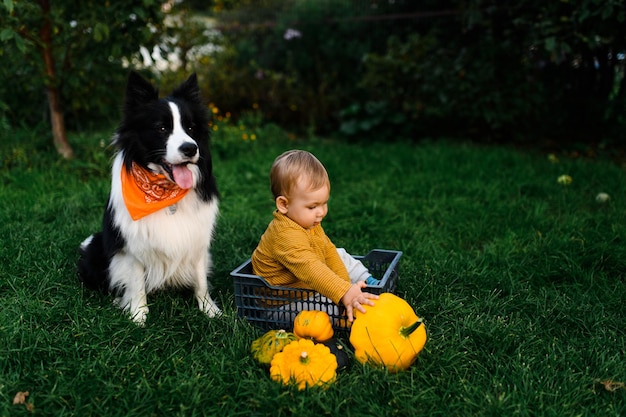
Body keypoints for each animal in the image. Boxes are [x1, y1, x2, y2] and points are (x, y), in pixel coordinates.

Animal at [77, 72, 221, 324]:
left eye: (191, 127)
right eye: (161, 128)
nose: (190, 148)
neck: (164, 192)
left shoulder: (197, 238)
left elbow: (201, 279)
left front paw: (208, 309)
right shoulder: (130, 246)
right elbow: (136, 282)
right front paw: (138, 315)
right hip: (95, 247)